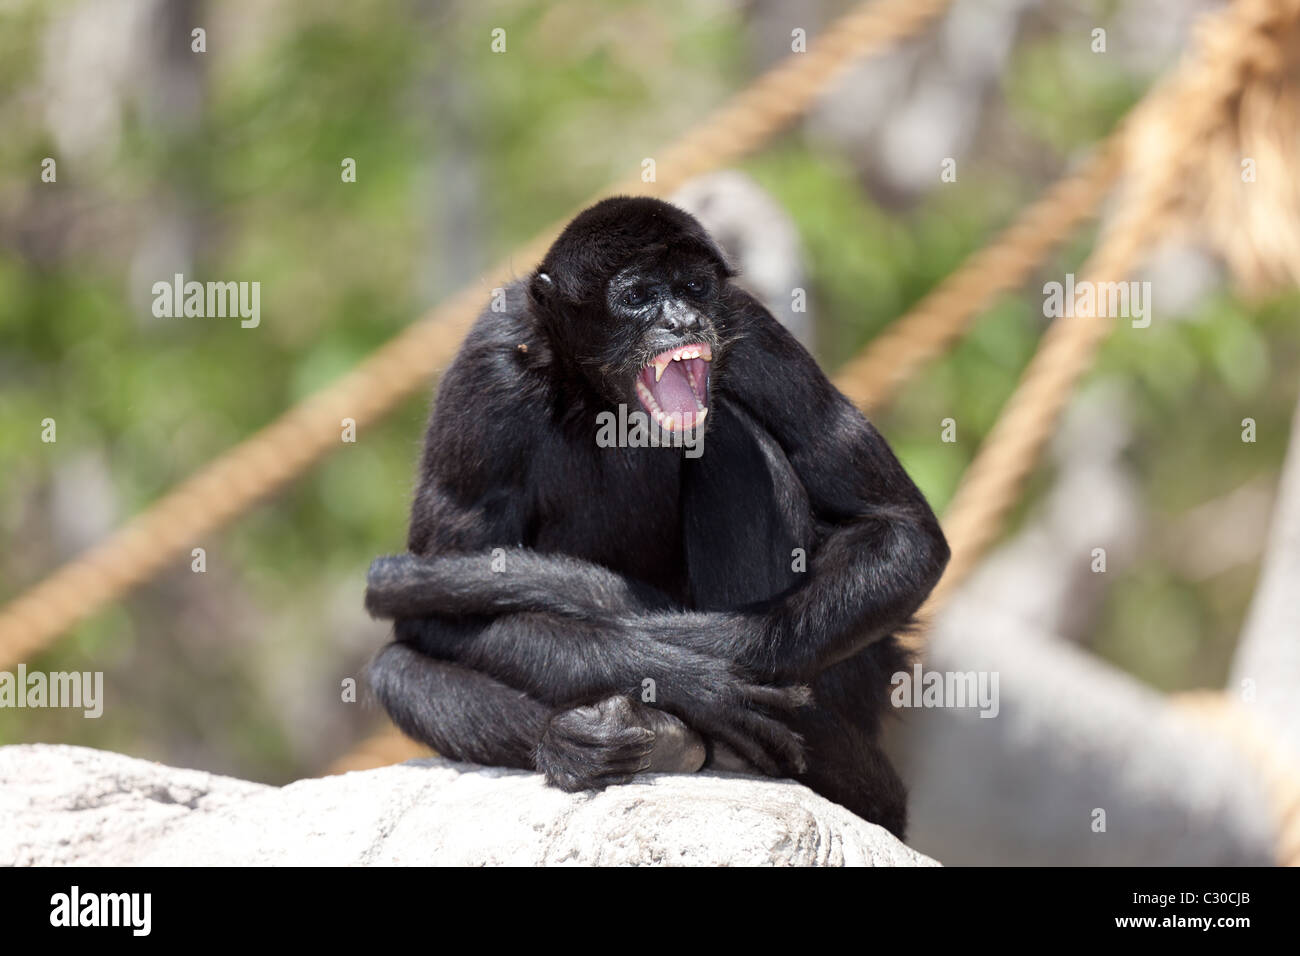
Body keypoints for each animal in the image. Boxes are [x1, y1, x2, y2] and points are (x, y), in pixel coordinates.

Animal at [366, 196, 946, 837]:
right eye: (640, 295)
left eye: (692, 287)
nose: (685, 322)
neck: (603, 402)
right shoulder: (487, 367)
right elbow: (432, 624)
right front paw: (689, 679)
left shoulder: (749, 327)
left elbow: (904, 533)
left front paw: (710, 660)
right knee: (400, 670)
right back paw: (586, 740)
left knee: (731, 437)